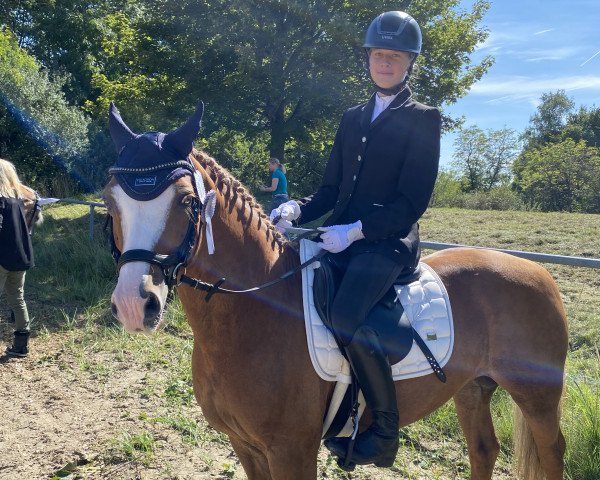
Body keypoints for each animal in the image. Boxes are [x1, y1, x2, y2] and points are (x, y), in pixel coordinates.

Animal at [104, 103, 568, 478]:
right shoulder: (245, 446)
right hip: (472, 387)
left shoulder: (291, 451)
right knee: (483, 450)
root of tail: (537, 271)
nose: (133, 306)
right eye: (110, 202)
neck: (252, 316)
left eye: (185, 201)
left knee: (551, 453)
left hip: (538, 398)